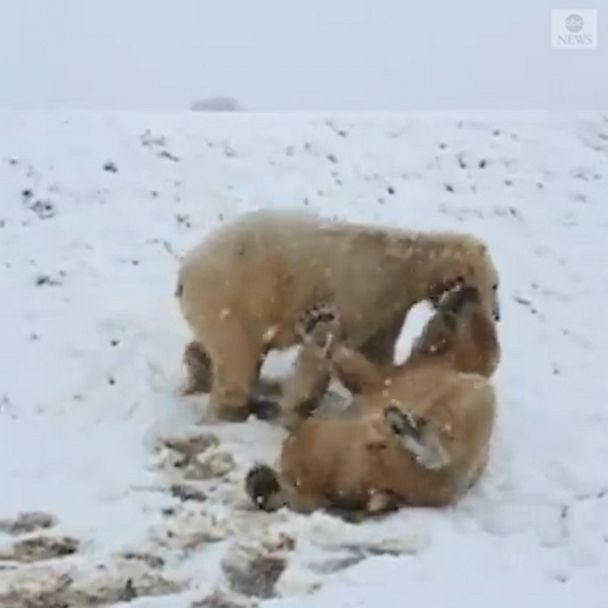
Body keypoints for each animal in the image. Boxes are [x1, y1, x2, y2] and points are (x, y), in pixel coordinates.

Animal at [176, 209, 498, 422]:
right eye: (495, 284)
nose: (496, 313)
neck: (404, 263)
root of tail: (186, 269)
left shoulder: (389, 308)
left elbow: (377, 350)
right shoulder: (363, 291)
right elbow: (324, 349)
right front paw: (296, 407)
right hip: (234, 293)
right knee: (237, 359)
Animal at [246, 286, 498, 516]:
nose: (467, 288)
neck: (445, 360)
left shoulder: (397, 375)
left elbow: (363, 371)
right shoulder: (398, 373)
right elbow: (360, 373)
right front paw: (318, 321)